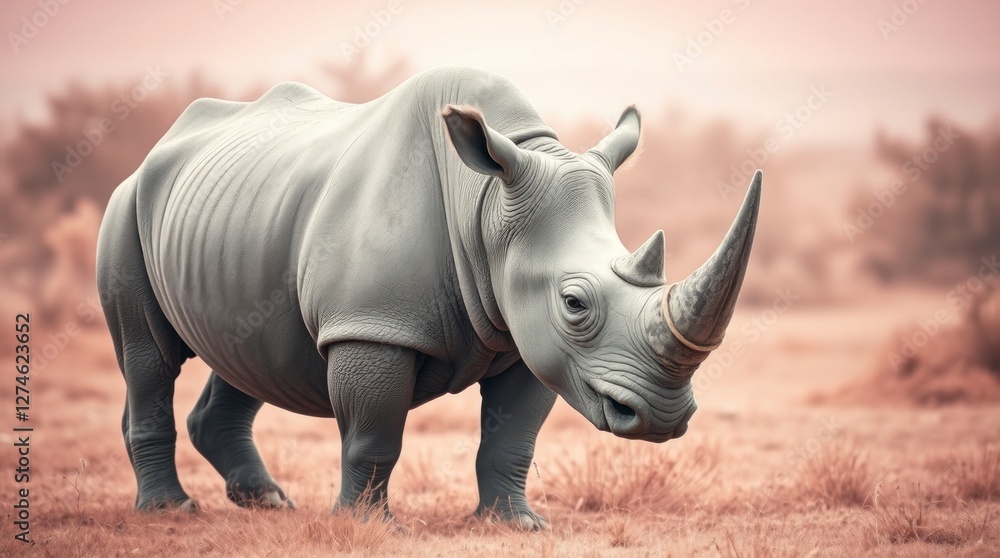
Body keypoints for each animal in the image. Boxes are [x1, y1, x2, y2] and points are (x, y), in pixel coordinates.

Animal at [96, 66, 761, 529]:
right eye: (575, 304)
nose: (662, 418)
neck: (487, 206)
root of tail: (162, 144)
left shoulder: (530, 339)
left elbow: (513, 437)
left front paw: (516, 524)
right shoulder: (372, 325)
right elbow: (374, 433)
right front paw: (365, 527)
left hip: (241, 217)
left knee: (252, 347)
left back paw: (269, 503)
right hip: (126, 205)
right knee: (151, 356)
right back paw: (172, 512)